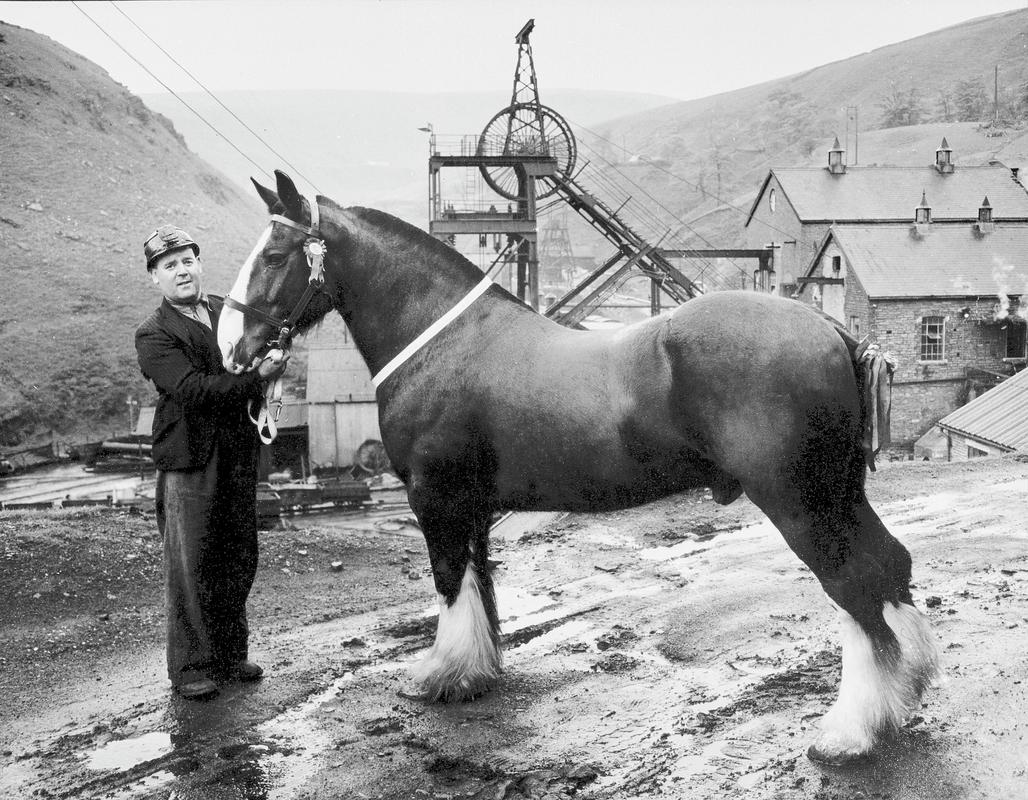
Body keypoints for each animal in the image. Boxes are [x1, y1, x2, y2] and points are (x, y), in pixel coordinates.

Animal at [218, 171, 941, 765]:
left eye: (276, 255)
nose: (232, 348)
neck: (442, 342)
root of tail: (833, 332)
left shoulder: (436, 501)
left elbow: (450, 584)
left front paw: (441, 676)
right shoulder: (471, 507)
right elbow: (479, 586)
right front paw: (477, 671)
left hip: (800, 502)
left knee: (853, 586)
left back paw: (849, 732)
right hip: (840, 494)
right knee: (887, 567)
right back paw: (903, 693)